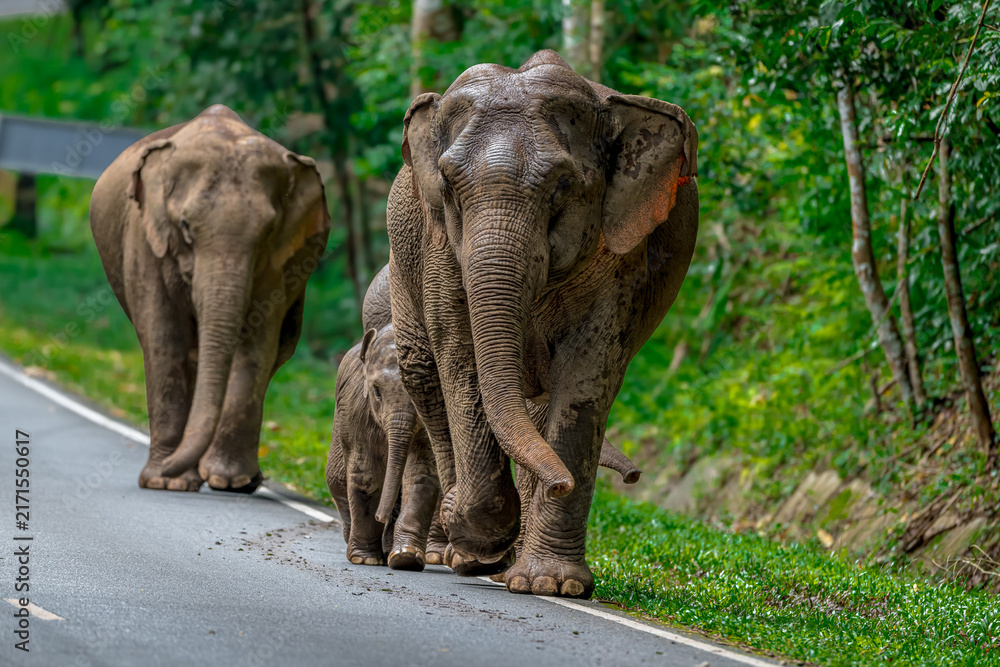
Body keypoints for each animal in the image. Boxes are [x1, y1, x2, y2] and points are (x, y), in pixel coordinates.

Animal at [90, 104, 330, 493]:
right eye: (186, 227)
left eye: (267, 231)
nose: (164, 469)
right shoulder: (145, 238)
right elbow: (164, 338)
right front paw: (166, 482)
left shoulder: (280, 261)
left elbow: (257, 345)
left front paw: (226, 481)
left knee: (278, 349)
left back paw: (241, 480)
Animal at [385, 50, 698, 598]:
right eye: (448, 186)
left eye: (562, 186)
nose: (636, 478)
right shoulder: (439, 245)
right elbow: (458, 354)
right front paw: (478, 541)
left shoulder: (622, 258)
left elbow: (586, 373)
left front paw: (553, 585)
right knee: (424, 372)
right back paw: (462, 550)